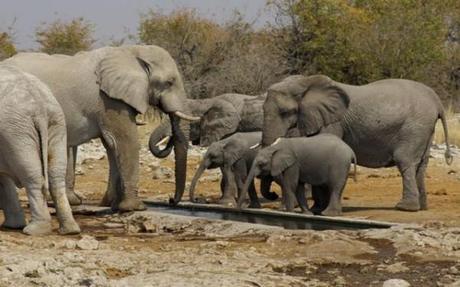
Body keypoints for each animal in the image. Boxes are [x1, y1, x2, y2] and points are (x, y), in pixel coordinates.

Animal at [0, 66, 80, 236]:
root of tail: (39, 107)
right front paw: (13, 225)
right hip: (57, 124)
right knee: (56, 176)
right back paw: (70, 230)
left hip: (16, 133)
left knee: (32, 175)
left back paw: (35, 230)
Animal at [3, 45, 199, 212]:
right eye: (169, 82)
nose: (171, 200)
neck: (132, 51)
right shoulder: (109, 100)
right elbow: (125, 141)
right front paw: (135, 207)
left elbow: (111, 145)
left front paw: (112, 205)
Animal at [260, 75, 452, 213]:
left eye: (286, 112)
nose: (274, 197)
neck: (304, 82)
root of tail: (437, 101)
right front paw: (316, 209)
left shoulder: (333, 122)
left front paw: (319, 210)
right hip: (425, 129)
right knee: (421, 165)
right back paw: (422, 207)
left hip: (414, 127)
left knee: (405, 160)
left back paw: (405, 208)